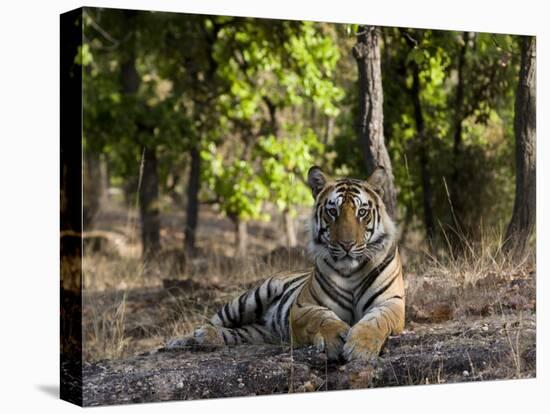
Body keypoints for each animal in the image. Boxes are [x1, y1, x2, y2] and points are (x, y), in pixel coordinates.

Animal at [166, 167, 408, 360]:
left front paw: (360, 347)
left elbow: (375, 322)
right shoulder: (302, 307)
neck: (351, 272)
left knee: (237, 332)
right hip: (249, 298)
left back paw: (205, 338)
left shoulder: (391, 303)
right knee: (213, 321)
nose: (346, 245)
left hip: (261, 331)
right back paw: (185, 339)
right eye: (333, 212)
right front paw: (337, 337)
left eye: (362, 212)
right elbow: (322, 318)